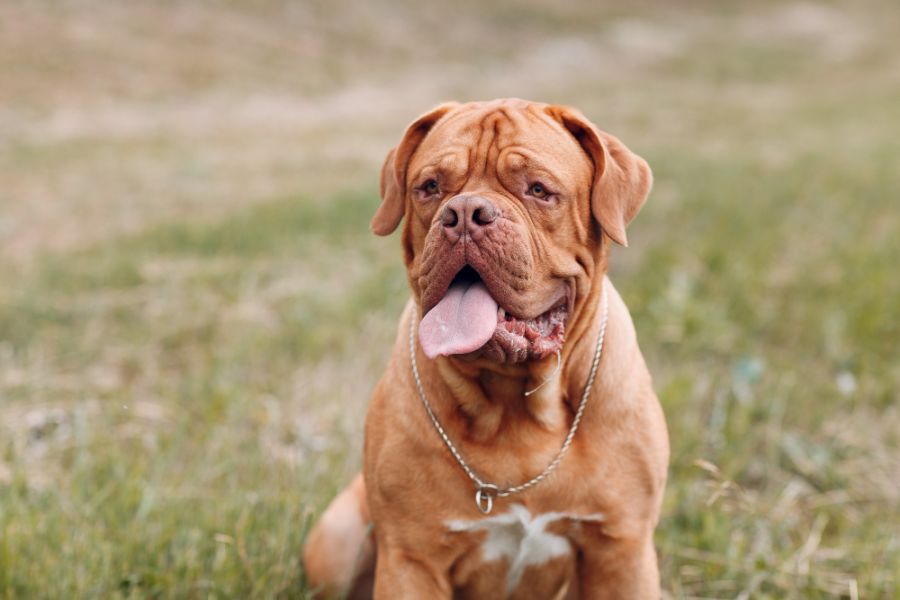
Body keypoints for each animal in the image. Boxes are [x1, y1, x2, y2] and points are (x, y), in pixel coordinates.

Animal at [302, 99, 668, 600]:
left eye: (538, 189)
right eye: (430, 187)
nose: (464, 213)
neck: (515, 406)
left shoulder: (622, 550)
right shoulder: (412, 558)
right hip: (338, 546)